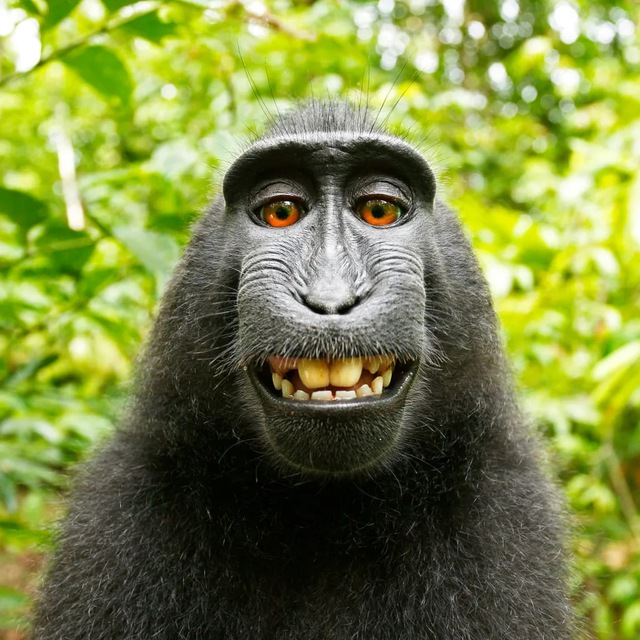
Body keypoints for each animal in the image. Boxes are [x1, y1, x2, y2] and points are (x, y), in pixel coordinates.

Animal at [32, 100, 572, 639]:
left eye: (380, 210)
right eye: (281, 212)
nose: (330, 298)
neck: (321, 513)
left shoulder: (501, 506)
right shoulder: (124, 502)